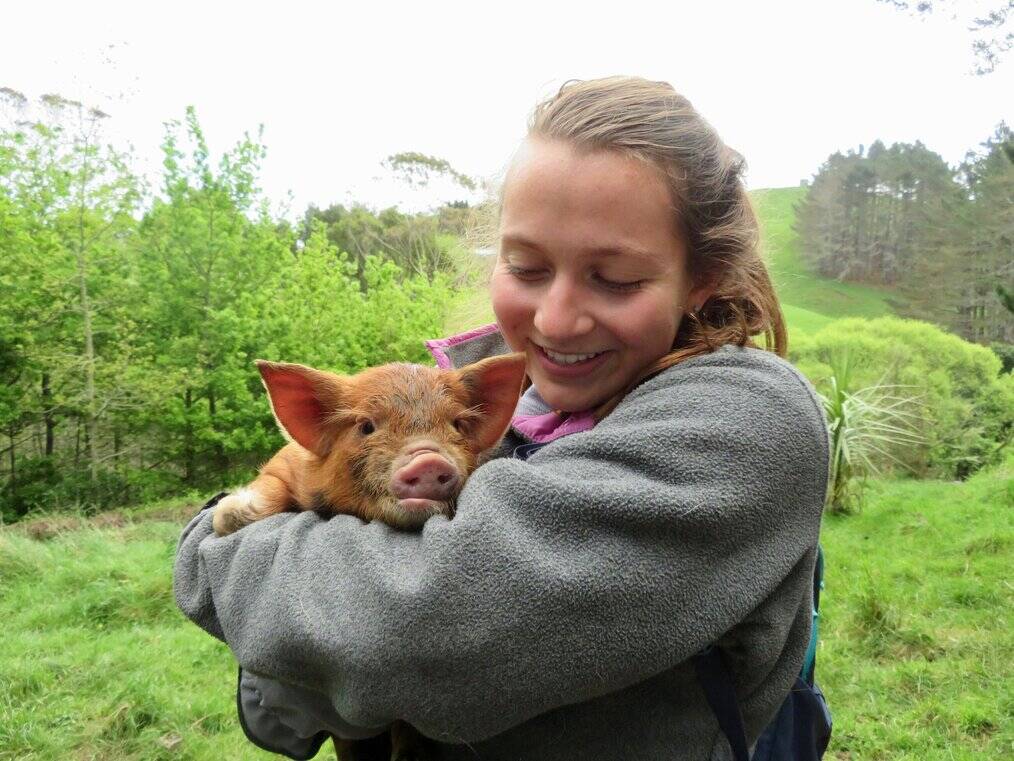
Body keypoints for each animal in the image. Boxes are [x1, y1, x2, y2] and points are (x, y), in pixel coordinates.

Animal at [210, 352, 528, 761]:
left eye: (456, 424)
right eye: (366, 426)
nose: (428, 460)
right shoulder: (285, 465)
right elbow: (270, 487)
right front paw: (228, 516)